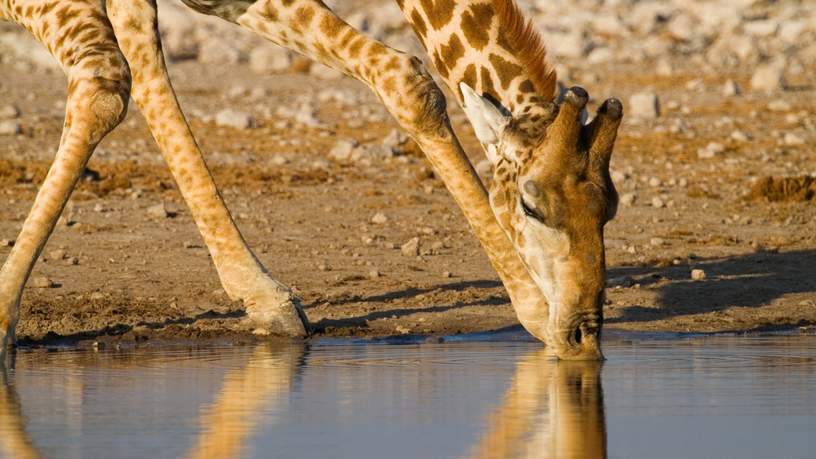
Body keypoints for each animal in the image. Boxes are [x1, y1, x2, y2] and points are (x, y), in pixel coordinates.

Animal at [0, 0, 622, 362]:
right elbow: (109, 76)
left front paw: (265, 300)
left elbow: (403, 73)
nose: (582, 334)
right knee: (102, 74)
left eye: (610, 208)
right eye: (531, 205)